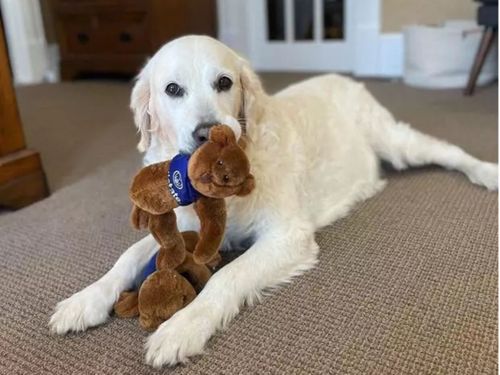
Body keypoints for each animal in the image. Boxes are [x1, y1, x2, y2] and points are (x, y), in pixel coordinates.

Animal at [48, 36, 498, 368]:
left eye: (224, 82)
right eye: (172, 90)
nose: (207, 133)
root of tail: (341, 77)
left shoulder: (288, 236)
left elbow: (227, 277)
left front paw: (181, 326)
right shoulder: (182, 226)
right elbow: (125, 258)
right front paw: (84, 300)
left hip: (397, 141)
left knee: (449, 153)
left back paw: (487, 172)